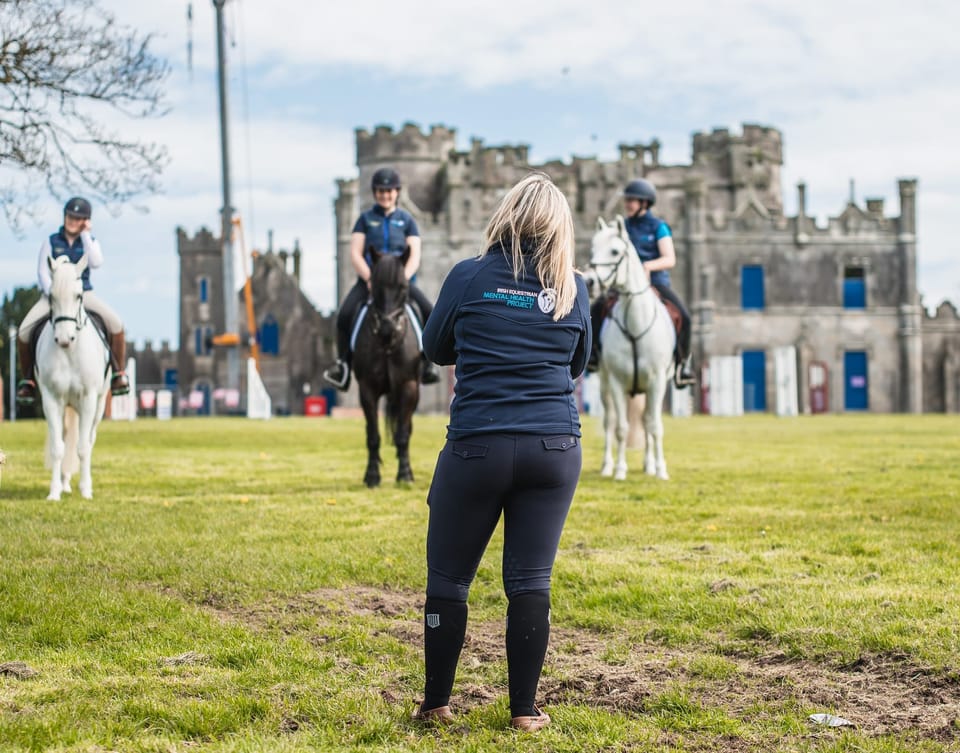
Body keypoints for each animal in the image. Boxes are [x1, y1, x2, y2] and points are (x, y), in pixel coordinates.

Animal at [36, 254, 111, 500]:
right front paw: (54, 492)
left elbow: (83, 447)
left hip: (98, 406)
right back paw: (65, 483)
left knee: (89, 440)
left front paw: (86, 490)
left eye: (78, 295)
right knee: (66, 438)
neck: (70, 352)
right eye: (51, 296)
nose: (63, 339)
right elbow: (58, 448)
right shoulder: (50, 400)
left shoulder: (88, 399)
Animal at [350, 247, 422, 488]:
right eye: (374, 285)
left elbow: (402, 434)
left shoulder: (408, 386)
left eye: (403, 287)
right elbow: (373, 436)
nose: (387, 328)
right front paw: (372, 476)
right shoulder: (367, 389)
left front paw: (405, 474)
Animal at [592, 214, 676, 478]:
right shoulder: (617, 382)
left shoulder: (657, 382)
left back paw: (649, 465)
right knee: (609, 421)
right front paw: (619, 470)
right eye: (593, 248)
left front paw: (661, 470)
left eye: (615, 251)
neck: (636, 328)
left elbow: (655, 426)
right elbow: (620, 428)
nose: (589, 281)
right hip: (605, 384)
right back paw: (607, 466)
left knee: (648, 419)